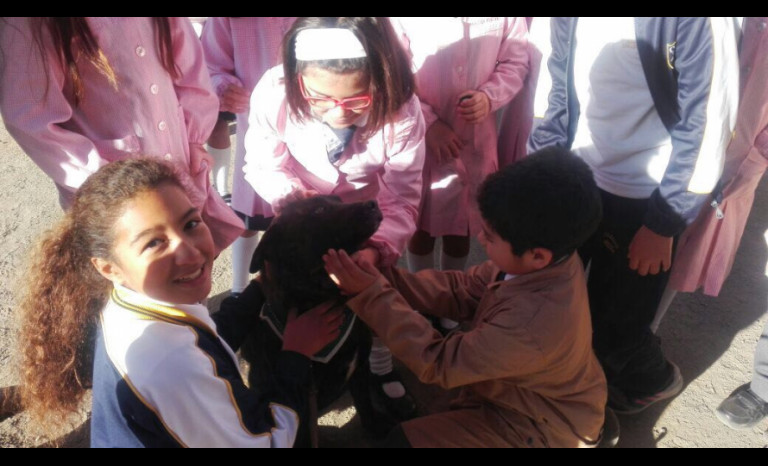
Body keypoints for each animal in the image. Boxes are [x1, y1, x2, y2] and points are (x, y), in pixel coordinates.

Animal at [220, 195, 408, 446]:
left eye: (338, 199)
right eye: (318, 210)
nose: (372, 203)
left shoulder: (359, 368)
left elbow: (365, 404)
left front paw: (375, 428)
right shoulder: (297, 402)